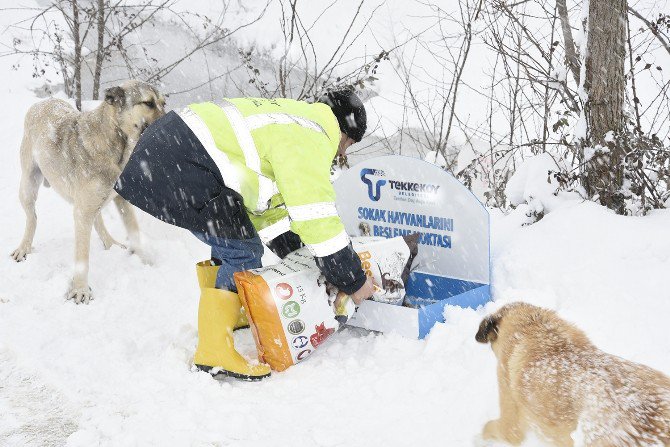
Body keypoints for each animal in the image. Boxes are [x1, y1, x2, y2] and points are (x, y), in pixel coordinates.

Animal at [10, 80, 165, 304]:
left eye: (163, 102)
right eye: (148, 103)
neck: (114, 142)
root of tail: (41, 103)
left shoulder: (121, 201)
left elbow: (134, 232)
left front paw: (145, 260)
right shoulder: (82, 211)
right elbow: (82, 256)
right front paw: (80, 290)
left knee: (97, 219)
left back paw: (110, 243)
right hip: (28, 185)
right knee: (32, 218)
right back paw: (24, 247)